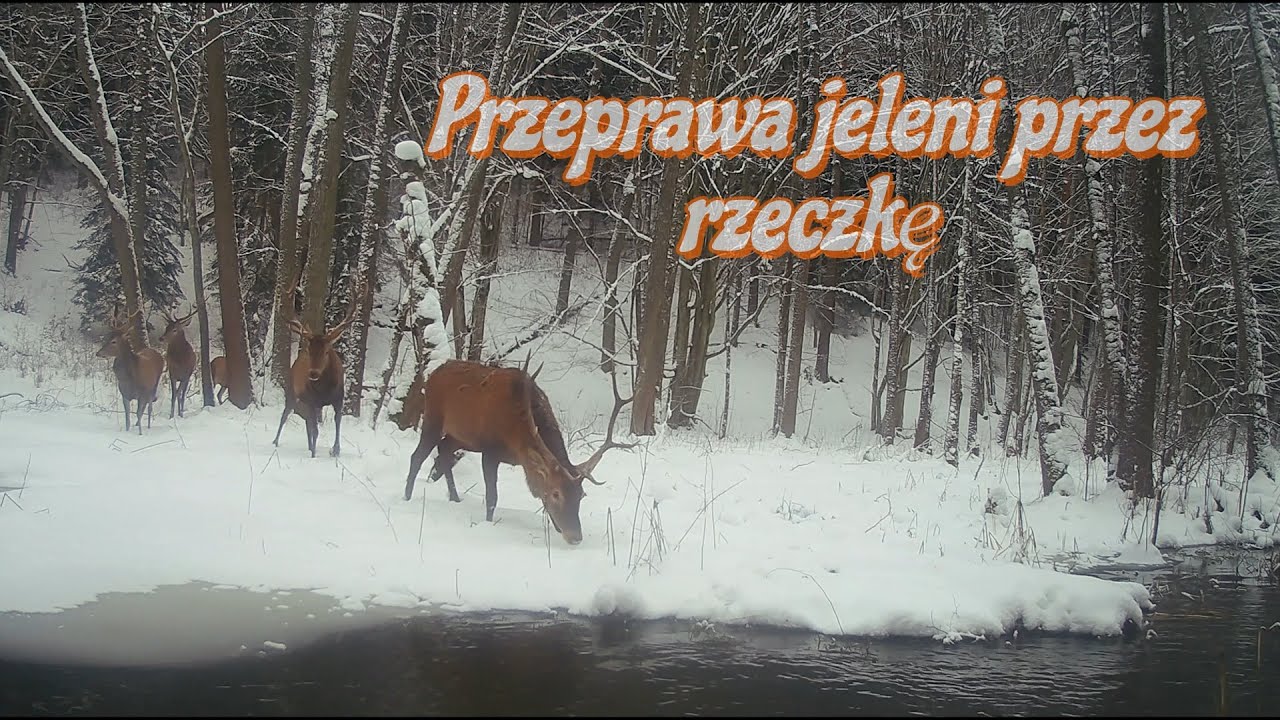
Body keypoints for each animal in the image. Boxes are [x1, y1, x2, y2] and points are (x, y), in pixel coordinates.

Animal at [272, 273, 363, 458]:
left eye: (327, 352)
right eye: (309, 350)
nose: (313, 373)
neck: (325, 390)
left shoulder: (339, 397)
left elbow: (337, 422)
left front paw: (336, 450)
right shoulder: (312, 400)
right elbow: (315, 430)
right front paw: (315, 454)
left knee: (307, 423)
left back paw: (308, 446)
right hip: (292, 391)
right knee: (286, 414)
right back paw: (276, 442)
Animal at [402, 358, 635, 546]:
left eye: (582, 495)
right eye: (556, 493)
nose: (575, 537)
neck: (515, 434)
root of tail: (432, 375)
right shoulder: (490, 450)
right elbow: (492, 496)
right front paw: (488, 523)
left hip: (461, 436)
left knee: (443, 451)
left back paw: (455, 498)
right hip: (433, 417)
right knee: (417, 456)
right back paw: (407, 497)